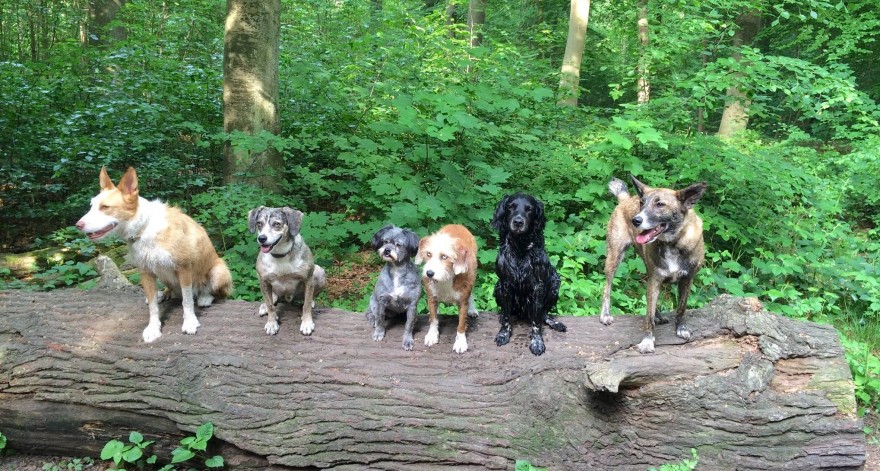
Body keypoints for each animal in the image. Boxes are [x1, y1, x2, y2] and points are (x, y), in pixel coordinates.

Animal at [75, 167, 232, 342]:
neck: (145, 228)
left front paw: (190, 322)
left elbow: (187, 301)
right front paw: (153, 328)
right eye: (91, 206)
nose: (78, 225)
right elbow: (153, 307)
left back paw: (205, 297)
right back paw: (163, 294)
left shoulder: (184, 269)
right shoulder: (146, 273)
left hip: (218, 272)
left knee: (217, 293)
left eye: (105, 207)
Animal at [416, 225, 478, 354]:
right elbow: (434, 320)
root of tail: (457, 225)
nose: (429, 273)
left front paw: (460, 342)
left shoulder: (462, 302)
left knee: (472, 294)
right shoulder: (432, 298)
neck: (445, 278)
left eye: (444, 256)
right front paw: (432, 335)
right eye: (428, 254)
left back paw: (472, 310)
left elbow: (461, 324)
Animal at [492, 194, 568, 356]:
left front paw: (537, 341)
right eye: (511, 207)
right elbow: (507, 315)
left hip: (555, 283)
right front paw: (503, 333)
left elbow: (537, 320)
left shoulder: (538, 286)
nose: (518, 222)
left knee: (544, 314)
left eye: (529, 209)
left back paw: (555, 323)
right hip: (497, 287)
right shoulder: (504, 284)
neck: (520, 248)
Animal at [600, 176, 708, 354]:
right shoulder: (656, 279)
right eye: (642, 203)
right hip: (614, 258)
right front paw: (648, 341)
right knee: (607, 288)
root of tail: (626, 199)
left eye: (660, 204)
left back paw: (659, 315)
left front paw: (681, 328)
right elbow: (648, 316)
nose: (636, 220)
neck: (672, 243)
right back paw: (605, 314)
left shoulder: (687, 279)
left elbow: (681, 307)